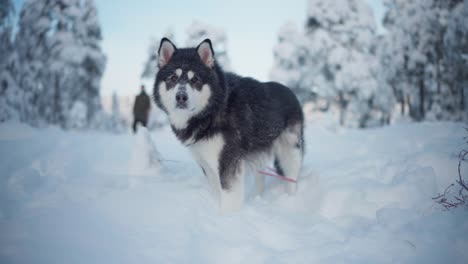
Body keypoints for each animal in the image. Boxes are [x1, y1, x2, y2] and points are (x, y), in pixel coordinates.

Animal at [154, 38, 304, 211]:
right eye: (173, 78)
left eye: (195, 79)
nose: (181, 97)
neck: (213, 110)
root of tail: (291, 92)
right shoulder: (208, 165)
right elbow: (217, 193)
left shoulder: (228, 164)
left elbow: (228, 199)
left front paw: (228, 216)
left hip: (290, 153)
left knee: (291, 179)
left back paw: (290, 201)